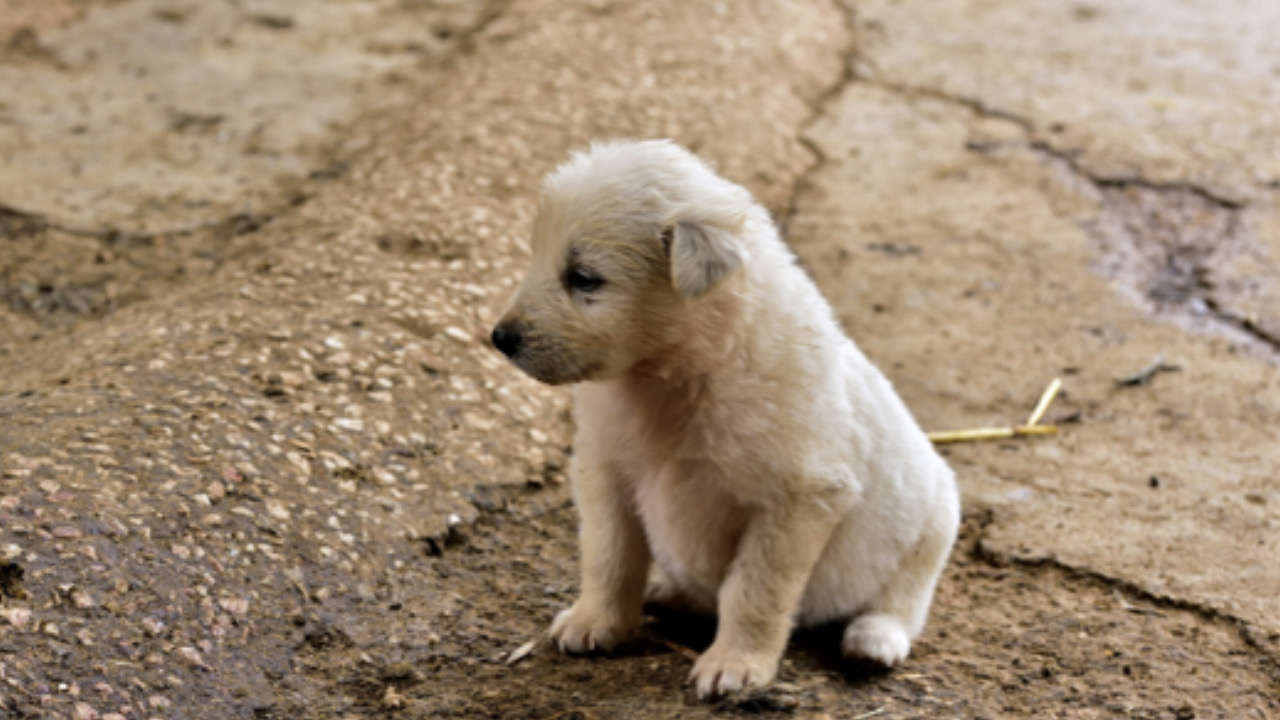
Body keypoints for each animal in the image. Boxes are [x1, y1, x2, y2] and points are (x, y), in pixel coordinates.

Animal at [494, 140, 957, 696]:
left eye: (584, 278)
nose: (499, 338)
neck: (677, 373)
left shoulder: (800, 498)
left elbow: (754, 588)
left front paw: (735, 664)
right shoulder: (604, 466)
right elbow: (609, 554)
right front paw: (595, 621)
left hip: (935, 522)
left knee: (902, 600)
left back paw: (874, 640)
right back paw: (665, 590)